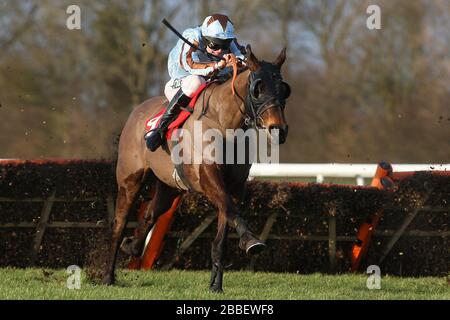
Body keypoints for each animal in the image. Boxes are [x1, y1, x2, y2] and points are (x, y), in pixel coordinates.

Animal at [102, 45, 290, 292]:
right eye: (258, 89)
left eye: (284, 89)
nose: (279, 130)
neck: (223, 124)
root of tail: (136, 112)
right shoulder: (210, 180)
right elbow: (231, 211)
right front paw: (252, 241)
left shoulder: (235, 186)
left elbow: (223, 233)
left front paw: (216, 285)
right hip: (129, 180)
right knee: (119, 224)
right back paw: (108, 277)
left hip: (170, 186)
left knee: (152, 212)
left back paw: (132, 246)